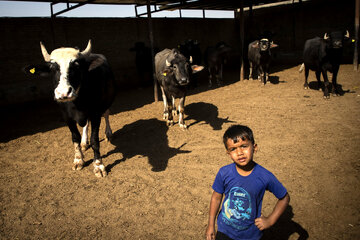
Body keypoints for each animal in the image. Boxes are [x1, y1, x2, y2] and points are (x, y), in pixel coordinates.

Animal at [23, 39, 116, 178]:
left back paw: (108, 134)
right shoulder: (67, 117)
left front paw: (98, 165)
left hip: (106, 103)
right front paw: (78, 160)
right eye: (52, 68)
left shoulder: (95, 114)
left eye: (76, 66)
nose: (63, 93)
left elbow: (95, 140)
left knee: (106, 114)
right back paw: (84, 142)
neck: (77, 104)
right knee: (85, 124)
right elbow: (75, 137)